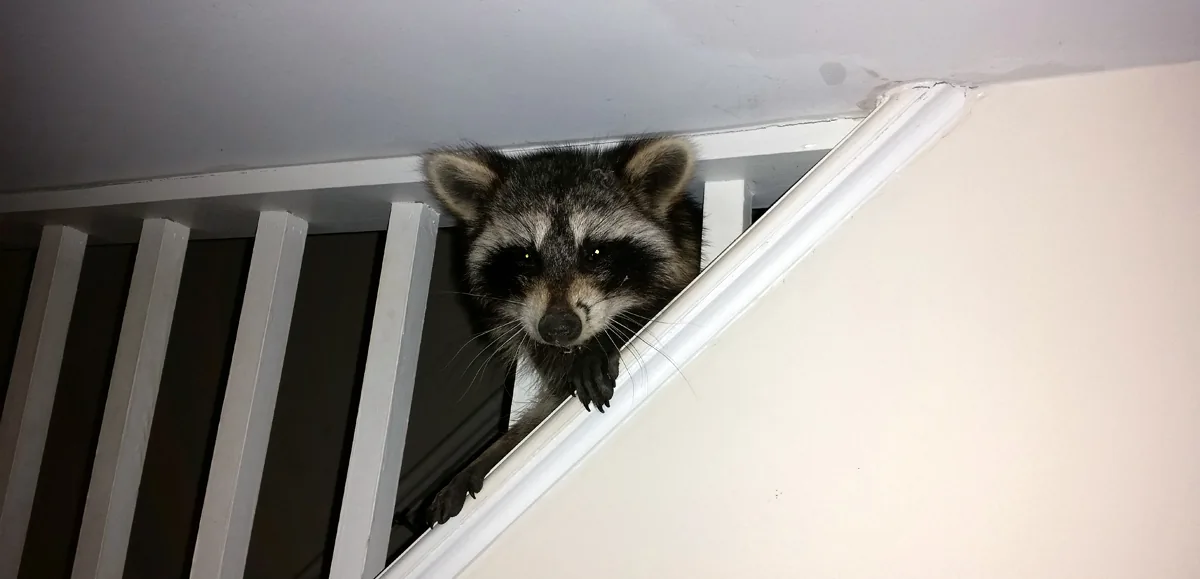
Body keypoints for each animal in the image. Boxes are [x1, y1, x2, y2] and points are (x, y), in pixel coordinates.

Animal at [418, 135, 703, 525]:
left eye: (595, 252)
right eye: (526, 257)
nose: (558, 328)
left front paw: (607, 339)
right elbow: (547, 405)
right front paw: (497, 450)